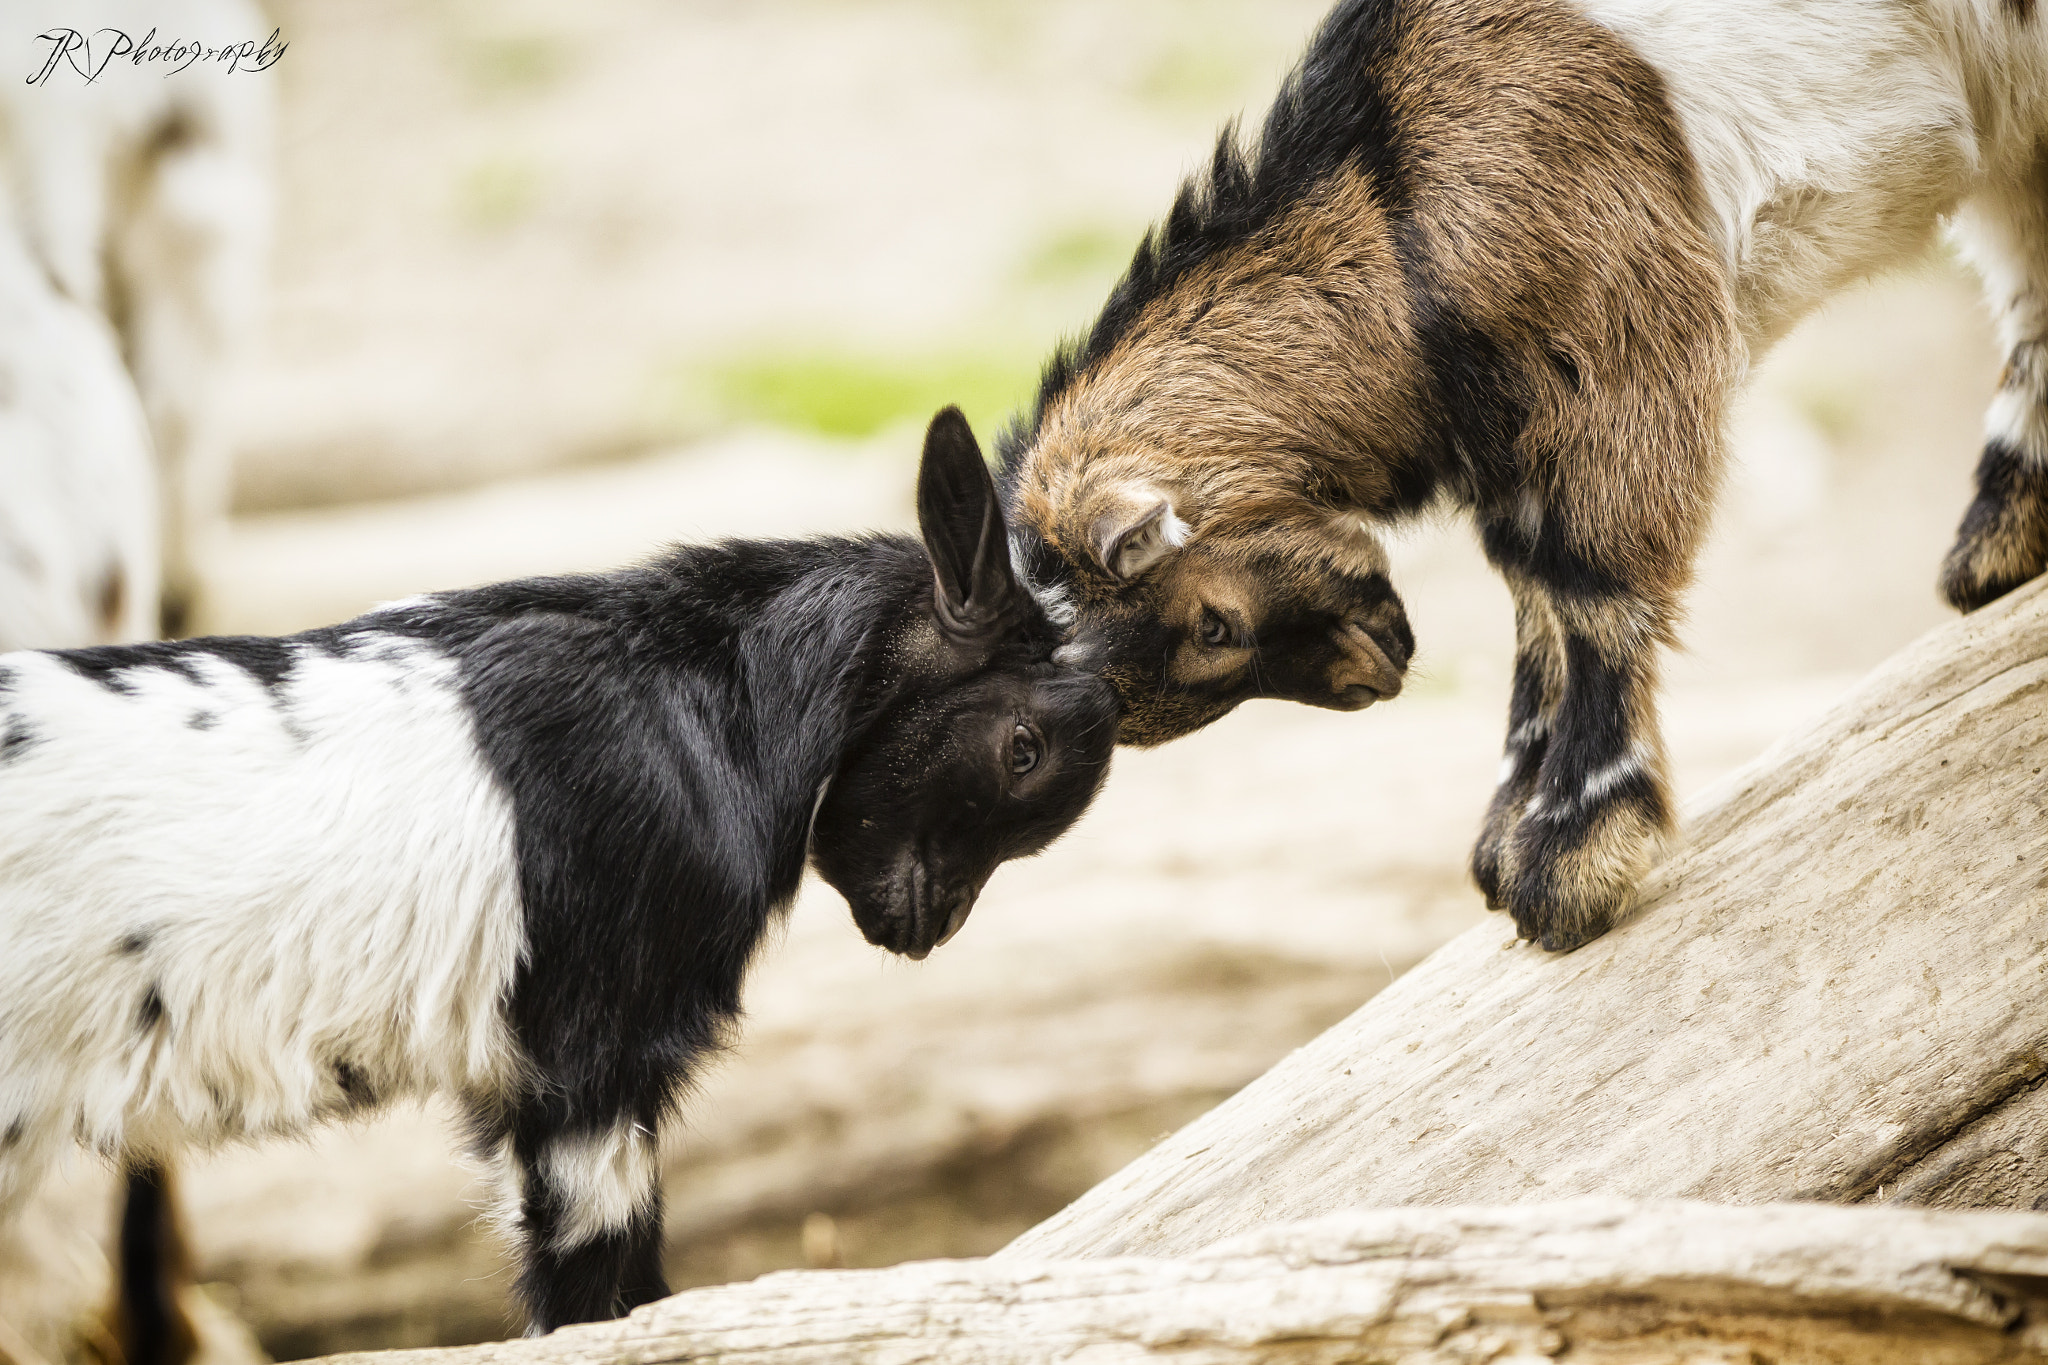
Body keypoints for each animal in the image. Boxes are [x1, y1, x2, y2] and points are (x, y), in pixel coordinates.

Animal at [993, 0, 2048, 951]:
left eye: (1212, 626)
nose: (1373, 680)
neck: (1393, 197)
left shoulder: (1620, 355)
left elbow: (1586, 589)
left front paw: (1573, 858)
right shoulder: (1520, 447)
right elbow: (1531, 593)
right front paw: (1509, 838)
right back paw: (2002, 541)